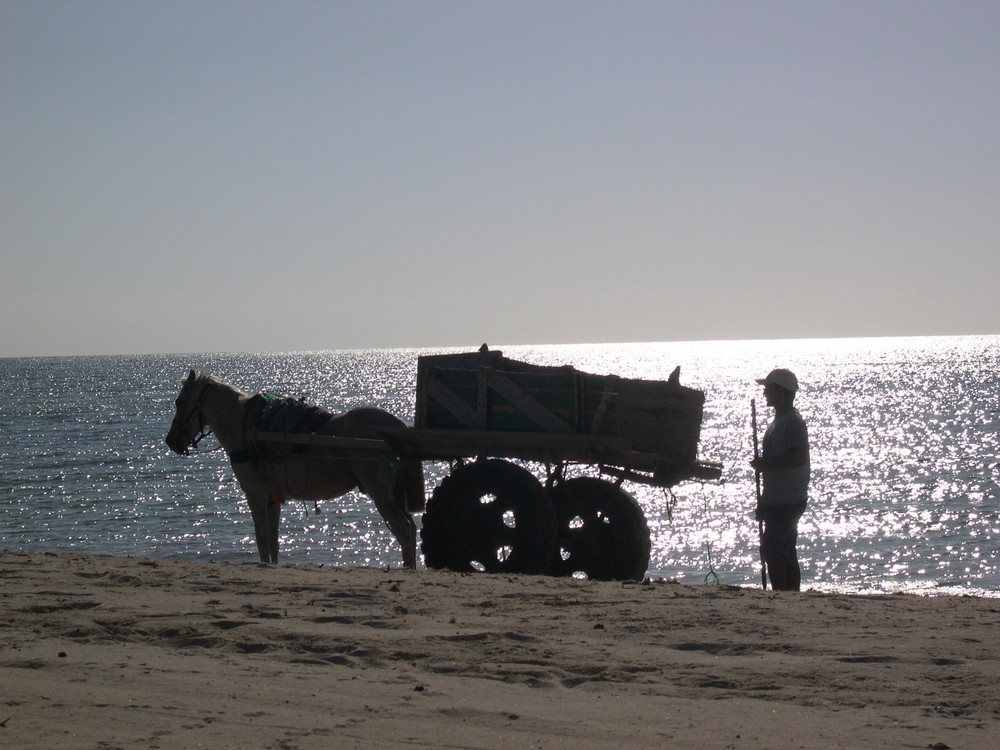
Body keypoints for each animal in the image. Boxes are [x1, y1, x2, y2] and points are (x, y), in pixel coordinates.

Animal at [166, 368, 424, 568]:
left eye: (179, 402)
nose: (171, 441)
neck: (247, 428)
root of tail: (396, 426)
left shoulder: (255, 495)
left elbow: (262, 539)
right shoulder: (272, 498)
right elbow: (273, 541)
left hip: (381, 493)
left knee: (403, 531)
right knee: (410, 530)